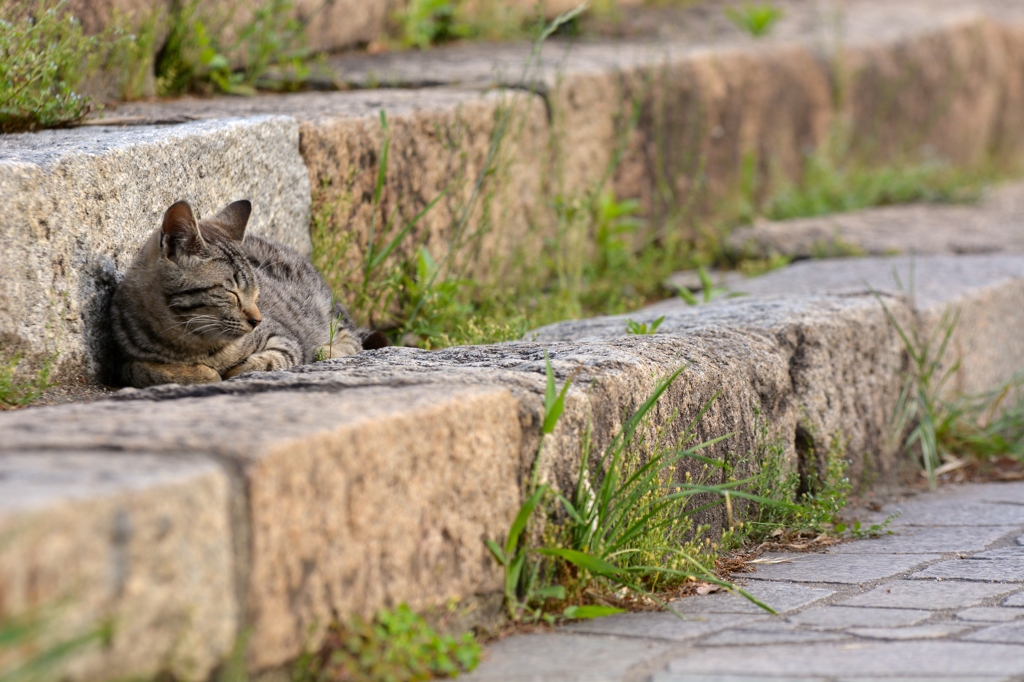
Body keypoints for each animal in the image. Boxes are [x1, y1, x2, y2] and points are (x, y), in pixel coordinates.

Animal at [109, 197, 387, 387]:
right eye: (231, 292)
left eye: (256, 293)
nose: (257, 320)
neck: (190, 344)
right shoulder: (124, 360)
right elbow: (145, 370)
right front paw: (202, 373)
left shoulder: (285, 338)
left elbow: (277, 357)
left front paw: (236, 368)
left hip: (324, 309)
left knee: (352, 337)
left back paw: (326, 350)